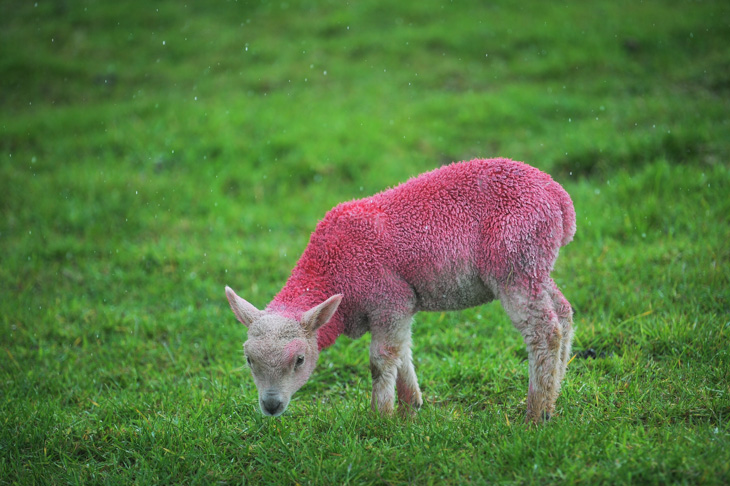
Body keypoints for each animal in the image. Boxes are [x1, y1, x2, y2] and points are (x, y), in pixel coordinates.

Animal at [223, 158, 576, 424]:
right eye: (249, 360)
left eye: (299, 360)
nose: (271, 406)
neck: (329, 270)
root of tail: (558, 197)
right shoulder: (401, 306)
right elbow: (403, 351)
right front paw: (410, 407)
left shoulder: (388, 298)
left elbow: (381, 361)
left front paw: (381, 417)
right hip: (537, 263)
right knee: (564, 314)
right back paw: (554, 396)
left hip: (514, 260)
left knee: (543, 331)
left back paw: (535, 413)